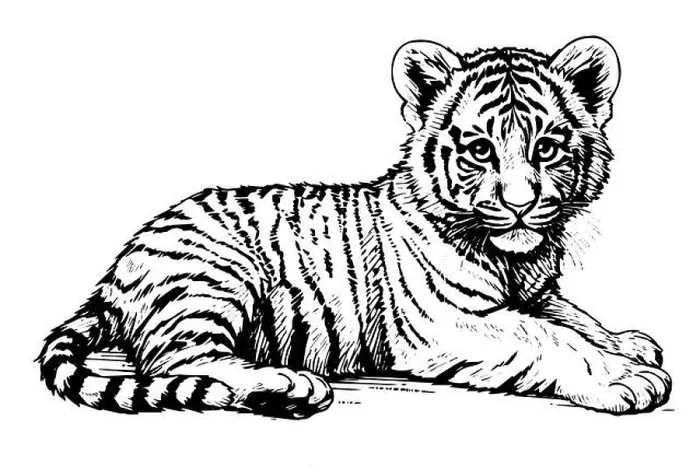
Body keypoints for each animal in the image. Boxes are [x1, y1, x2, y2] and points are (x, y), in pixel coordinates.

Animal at [38, 36, 671, 418]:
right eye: (480, 150)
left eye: (546, 148)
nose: (519, 205)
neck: (513, 256)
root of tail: (120, 262)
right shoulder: (447, 323)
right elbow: (548, 338)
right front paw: (625, 378)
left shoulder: (537, 294)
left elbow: (576, 319)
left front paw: (630, 344)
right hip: (213, 282)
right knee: (180, 365)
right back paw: (290, 386)